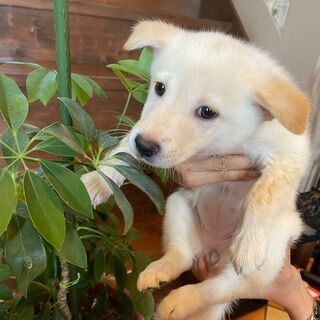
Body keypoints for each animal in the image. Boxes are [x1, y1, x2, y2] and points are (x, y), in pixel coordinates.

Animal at [81, 21, 312, 318]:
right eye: (160, 88)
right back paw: (159, 272)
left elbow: (264, 192)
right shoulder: (140, 130)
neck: (229, 141)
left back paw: (178, 301)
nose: (144, 146)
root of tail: (213, 253)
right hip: (177, 206)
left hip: (270, 258)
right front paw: (96, 182)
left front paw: (248, 244)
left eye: (207, 112)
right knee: (181, 256)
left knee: (217, 289)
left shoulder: (291, 155)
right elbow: (122, 152)